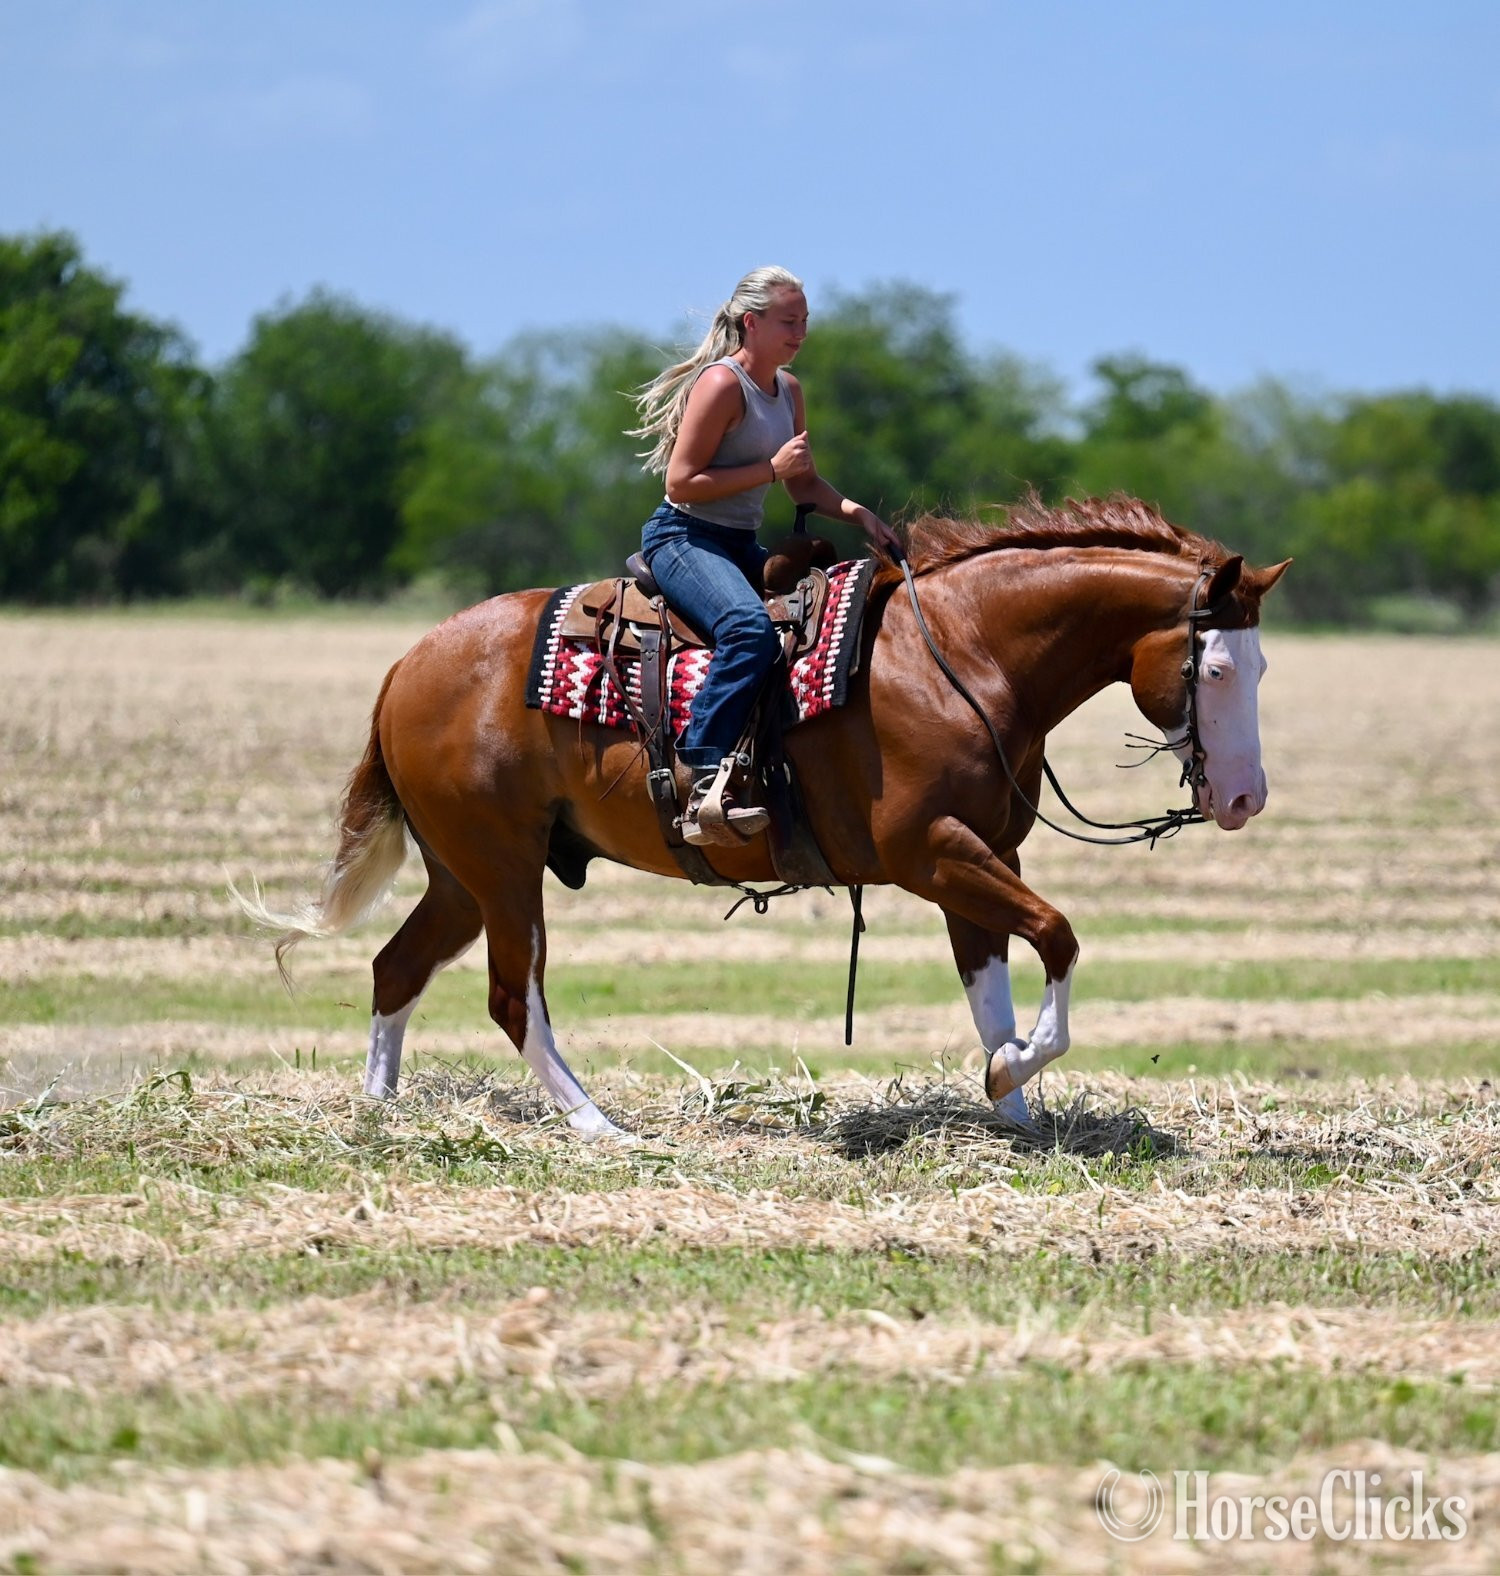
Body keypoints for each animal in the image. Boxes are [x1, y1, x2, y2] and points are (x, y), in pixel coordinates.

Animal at [241, 495, 1289, 1139]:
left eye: (1263, 665)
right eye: (1216, 667)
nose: (1245, 799)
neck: (961, 657)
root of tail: (408, 663)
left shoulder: (981, 857)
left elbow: (991, 980)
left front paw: (1012, 1102)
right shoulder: (930, 852)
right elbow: (1060, 937)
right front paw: (1013, 1074)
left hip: (465, 872)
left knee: (396, 968)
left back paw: (379, 1113)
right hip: (501, 869)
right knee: (511, 997)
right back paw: (600, 1127)